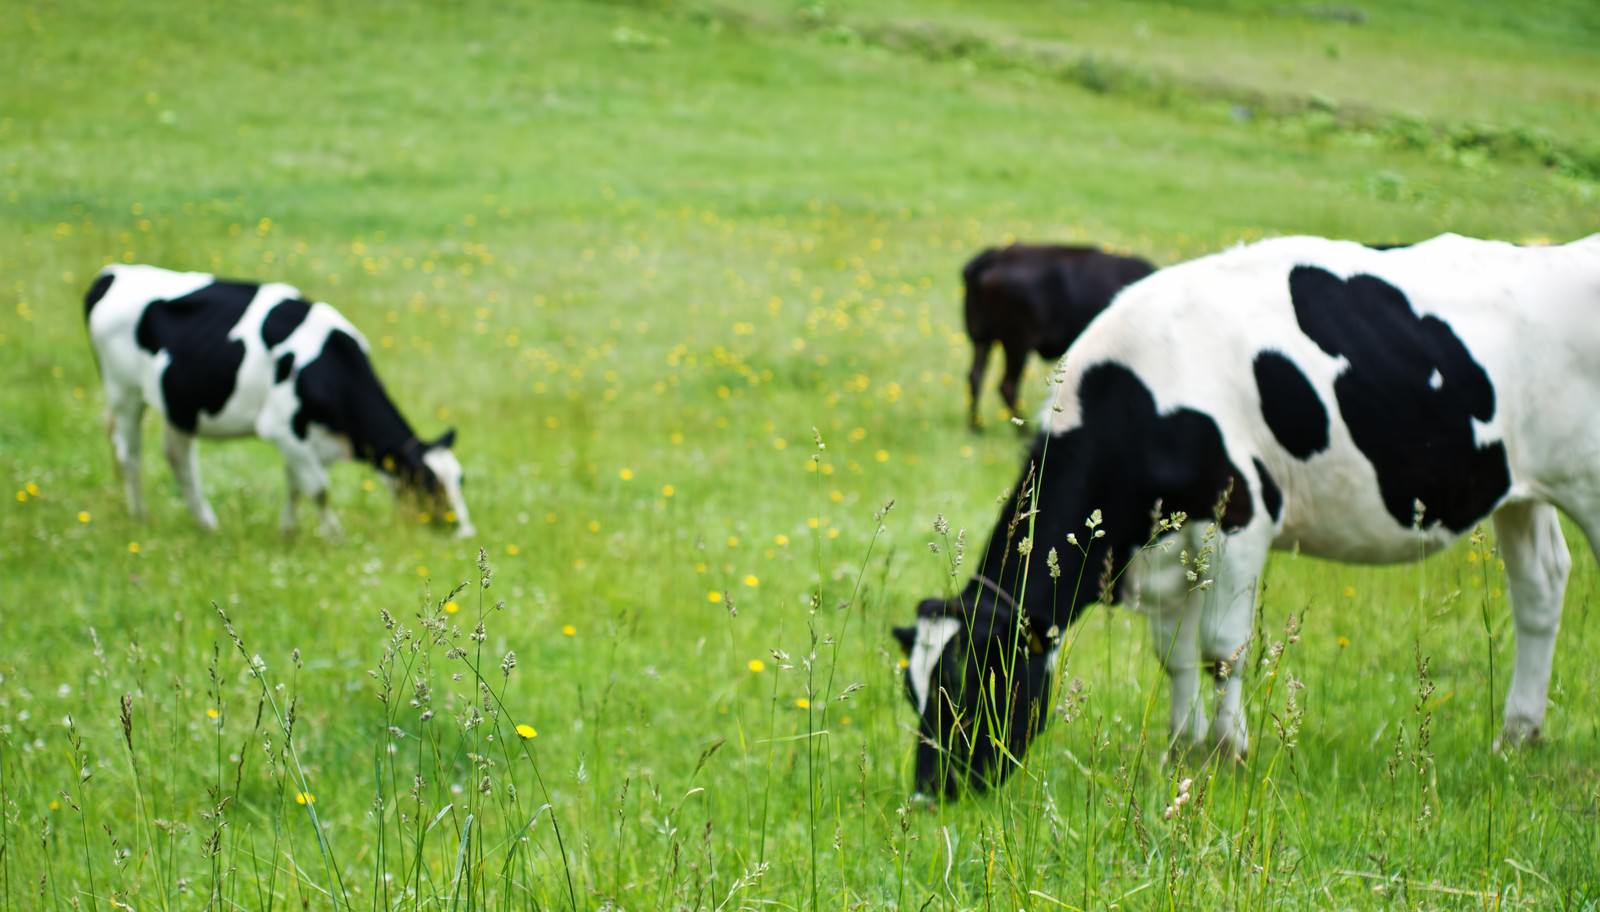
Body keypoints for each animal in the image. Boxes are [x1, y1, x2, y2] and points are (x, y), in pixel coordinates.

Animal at [86, 262, 470, 537]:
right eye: (430, 484)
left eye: (460, 480)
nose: (464, 530)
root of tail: (113, 273)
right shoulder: (283, 428)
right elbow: (318, 488)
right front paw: (335, 536)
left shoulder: (305, 438)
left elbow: (297, 485)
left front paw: (288, 531)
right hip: (124, 392)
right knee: (130, 455)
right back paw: (140, 515)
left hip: (180, 405)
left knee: (179, 459)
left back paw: (206, 524)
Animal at [953, 244, 1158, 428]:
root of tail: (992, 257)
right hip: (1016, 344)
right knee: (1007, 386)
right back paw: (1024, 431)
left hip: (982, 339)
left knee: (975, 376)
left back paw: (977, 426)